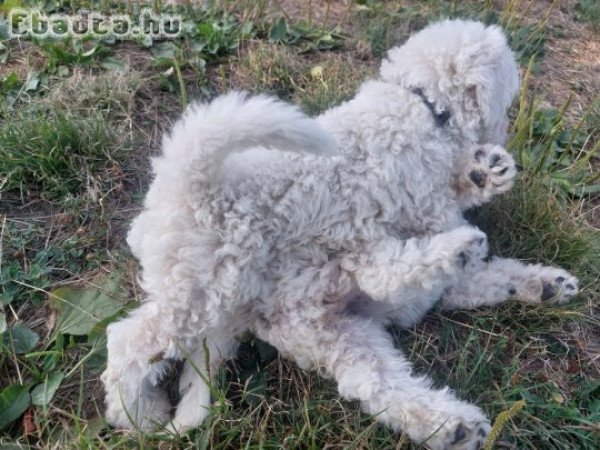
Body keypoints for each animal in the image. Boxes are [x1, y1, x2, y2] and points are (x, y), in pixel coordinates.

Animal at [102, 19, 576, 448]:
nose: (505, 133)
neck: (418, 103)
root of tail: (181, 179)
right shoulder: (425, 205)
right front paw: (481, 177)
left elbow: (487, 275)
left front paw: (543, 280)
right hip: (204, 290)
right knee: (129, 341)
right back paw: (139, 414)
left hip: (330, 327)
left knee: (380, 378)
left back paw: (454, 424)